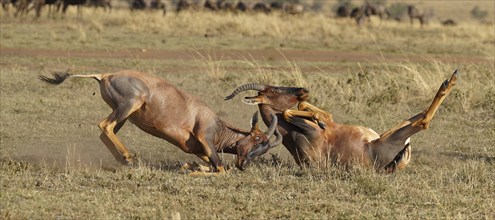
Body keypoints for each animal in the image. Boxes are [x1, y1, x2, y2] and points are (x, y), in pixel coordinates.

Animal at [37, 70, 282, 172]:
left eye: (264, 147)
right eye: (257, 139)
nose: (244, 165)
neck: (217, 124)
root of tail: (105, 75)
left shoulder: (196, 149)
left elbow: (207, 163)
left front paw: (189, 166)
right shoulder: (205, 138)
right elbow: (221, 168)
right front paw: (192, 169)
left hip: (123, 114)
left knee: (105, 131)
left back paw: (125, 160)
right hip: (129, 106)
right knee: (104, 126)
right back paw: (128, 157)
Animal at [227, 69, 460, 173]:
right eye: (273, 91)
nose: (303, 90)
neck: (291, 136)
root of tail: (392, 165)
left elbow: (307, 110)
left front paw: (319, 116)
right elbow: (285, 113)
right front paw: (318, 118)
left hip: (383, 134)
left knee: (416, 116)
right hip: (390, 139)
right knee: (423, 121)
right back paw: (450, 81)